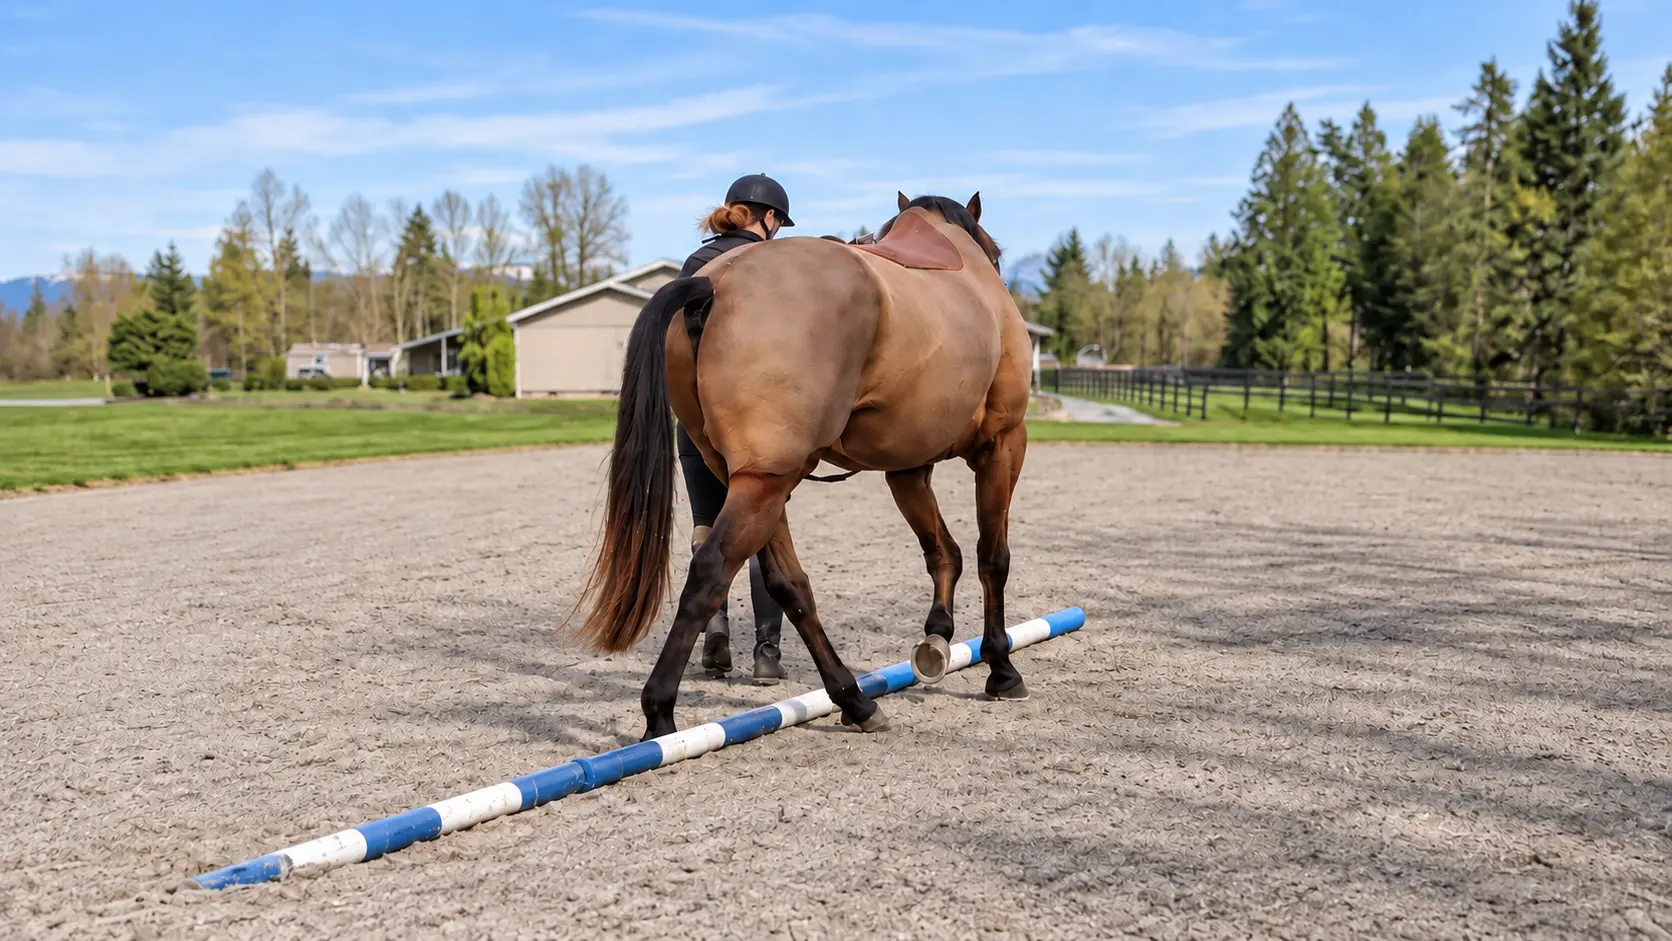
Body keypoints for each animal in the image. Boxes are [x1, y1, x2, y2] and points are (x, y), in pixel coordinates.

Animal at [572, 191, 1034, 742]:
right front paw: (1000, 667)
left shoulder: (907, 468)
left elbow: (945, 552)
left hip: (756, 482)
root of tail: (716, 284)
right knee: (711, 571)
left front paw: (937, 639)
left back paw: (855, 700)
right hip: (766, 483)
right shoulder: (1003, 445)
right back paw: (660, 715)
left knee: (787, 584)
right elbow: (992, 557)